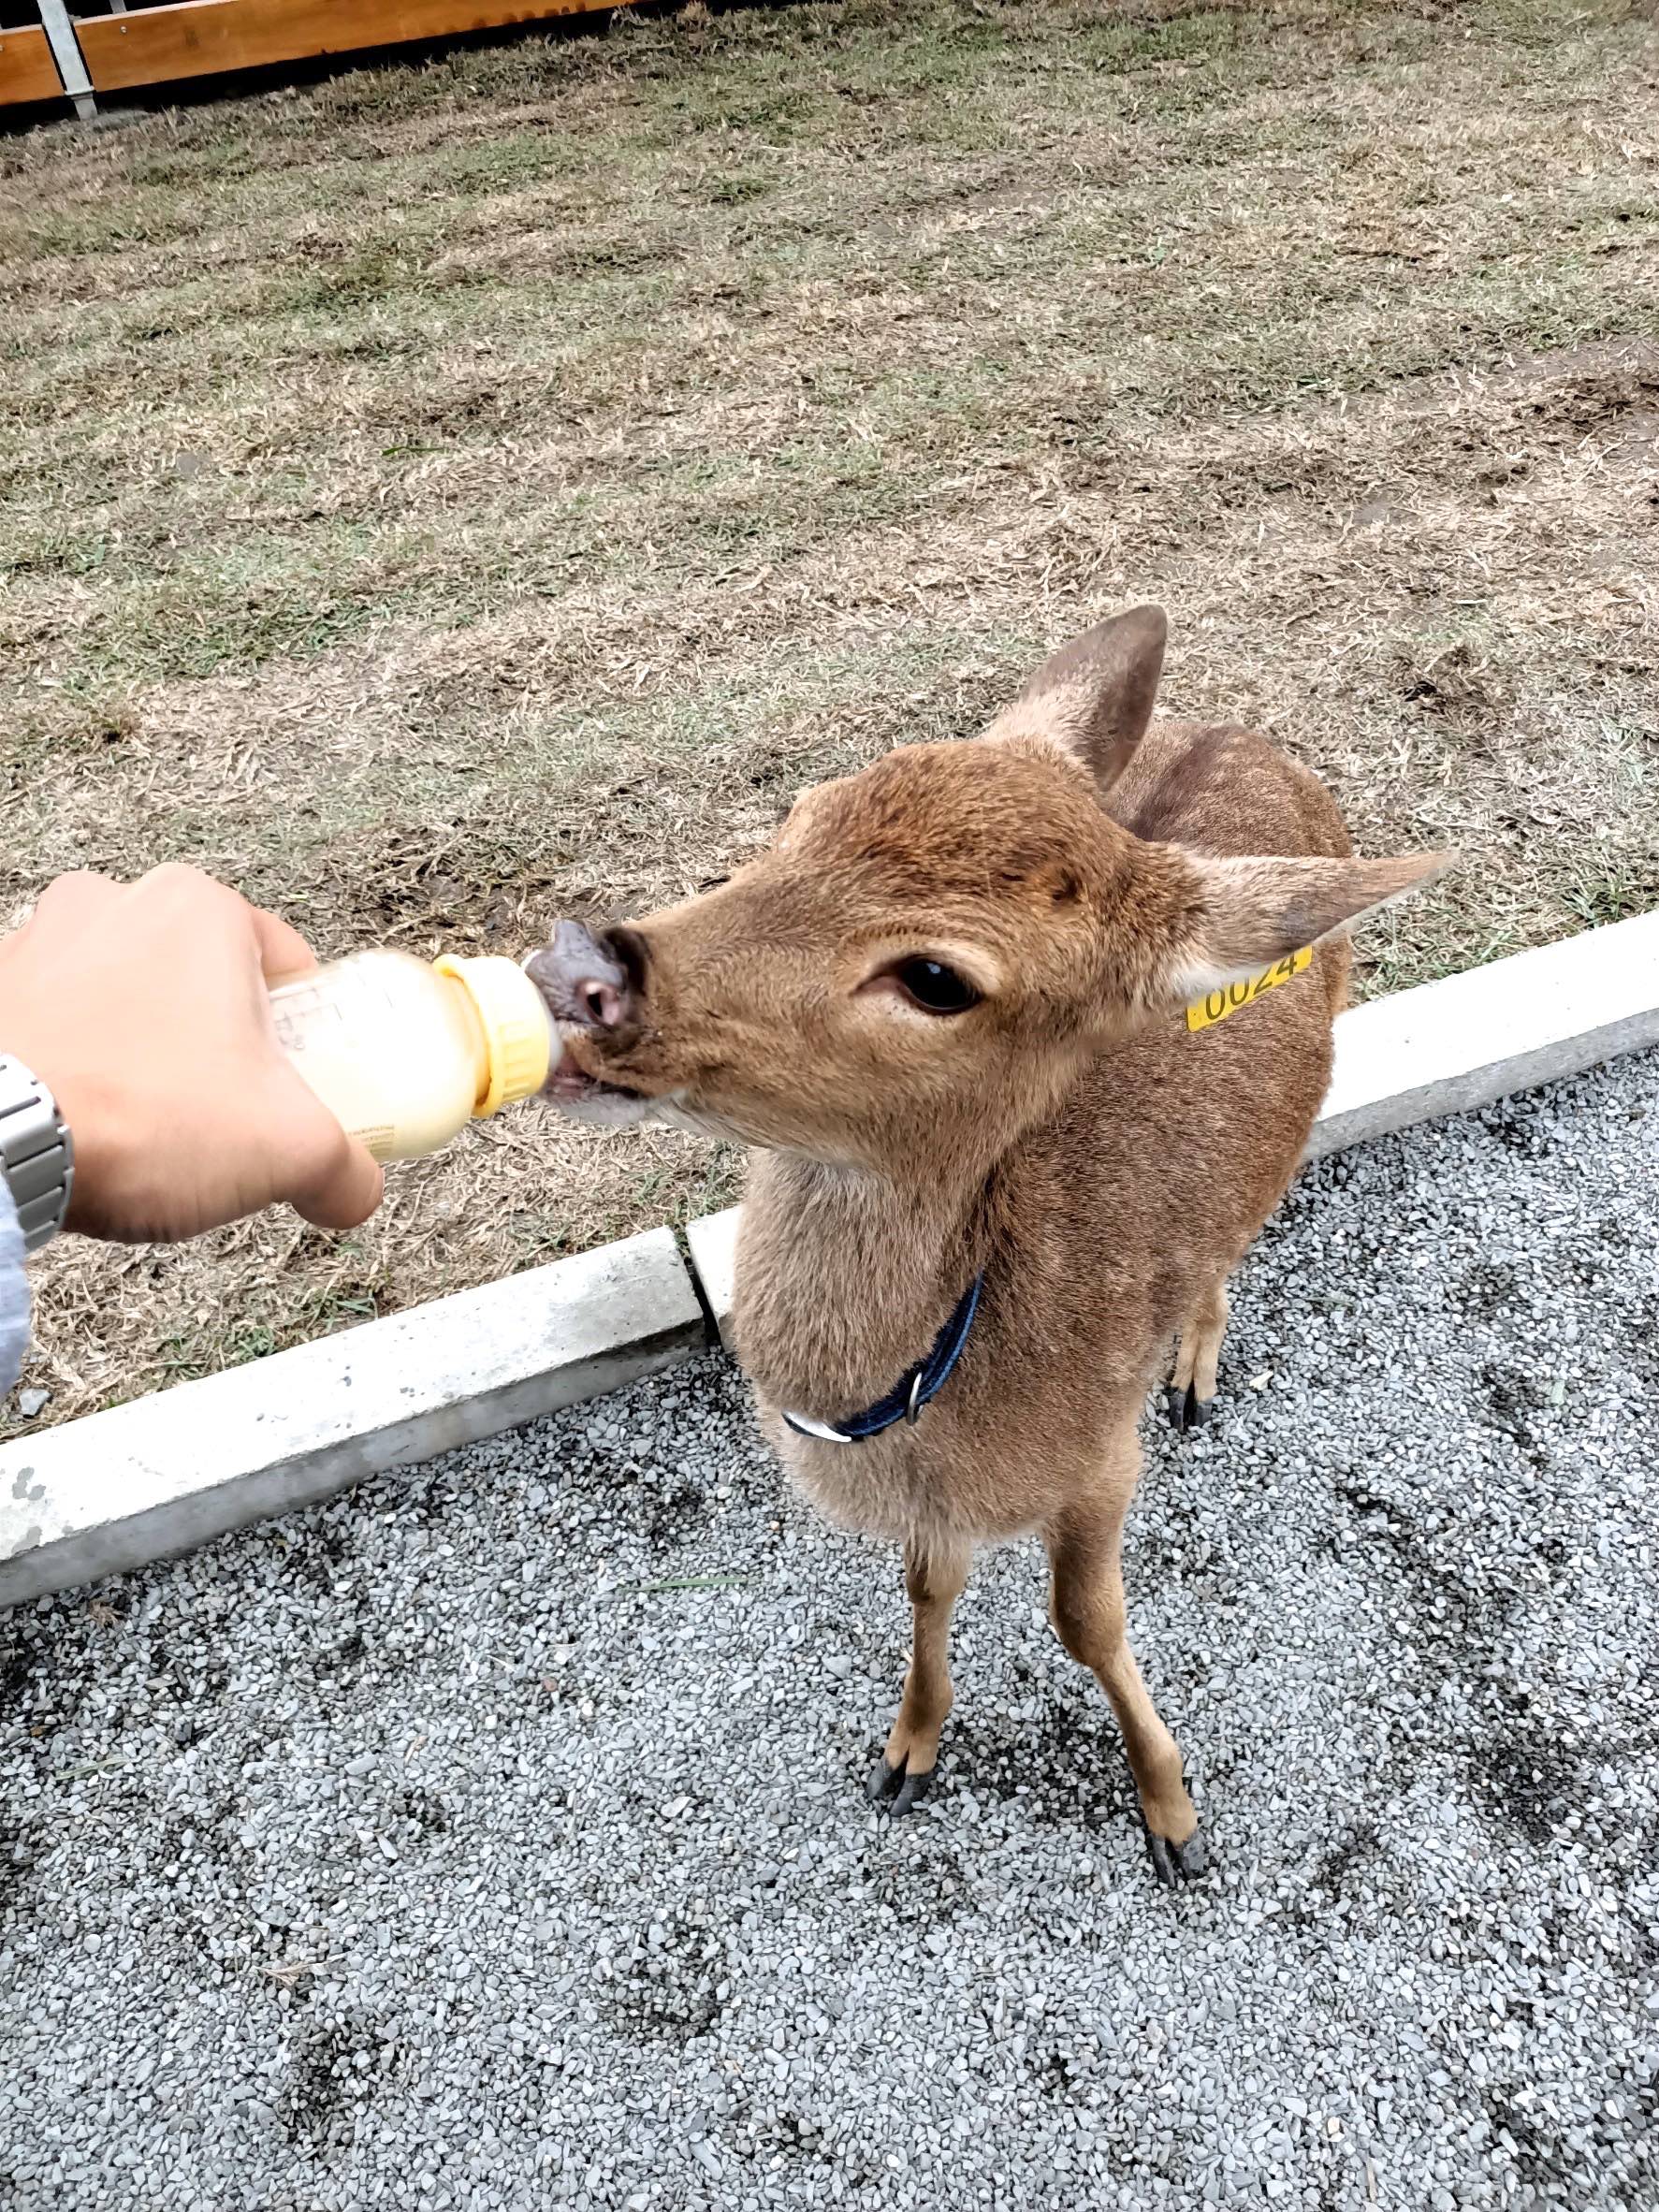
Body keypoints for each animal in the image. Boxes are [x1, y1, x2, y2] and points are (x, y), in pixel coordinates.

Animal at [527, 607, 1445, 1882]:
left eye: (935, 977)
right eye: (805, 808)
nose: (585, 972)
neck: (940, 1400)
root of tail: (1251, 736)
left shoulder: (1102, 1452)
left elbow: (1086, 1623)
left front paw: (1173, 1813)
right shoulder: (938, 1511)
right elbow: (926, 1585)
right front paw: (907, 1751)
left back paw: (1196, 1370)